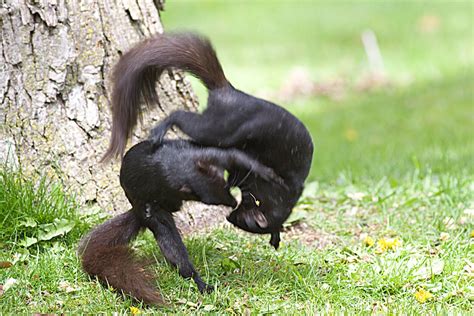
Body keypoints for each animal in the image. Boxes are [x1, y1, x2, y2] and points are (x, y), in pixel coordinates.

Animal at [79, 139, 284, 304]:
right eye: (207, 199)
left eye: (224, 182)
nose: (233, 203)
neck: (178, 165)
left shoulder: (211, 154)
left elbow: (236, 155)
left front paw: (266, 172)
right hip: (156, 218)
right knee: (174, 250)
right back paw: (201, 284)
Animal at [102, 32, 312, 249]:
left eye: (240, 222)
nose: (229, 217)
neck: (280, 198)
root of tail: (229, 92)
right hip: (217, 128)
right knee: (180, 116)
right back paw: (159, 130)